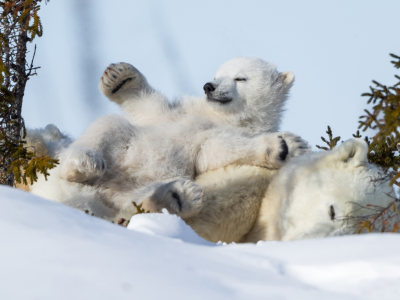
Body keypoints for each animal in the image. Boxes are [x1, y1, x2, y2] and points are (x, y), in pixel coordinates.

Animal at [33, 57, 310, 220]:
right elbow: (152, 108)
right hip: (118, 154)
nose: (209, 86)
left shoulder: (231, 133)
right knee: (109, 128)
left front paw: (285, 146)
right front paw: (119, 77)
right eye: (217, 75)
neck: (221, 117)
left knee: (137, 197)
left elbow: (217, 150)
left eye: (240, 78)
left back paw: (177, 196)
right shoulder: (179, 113)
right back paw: (84, 164)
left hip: (144, 184)